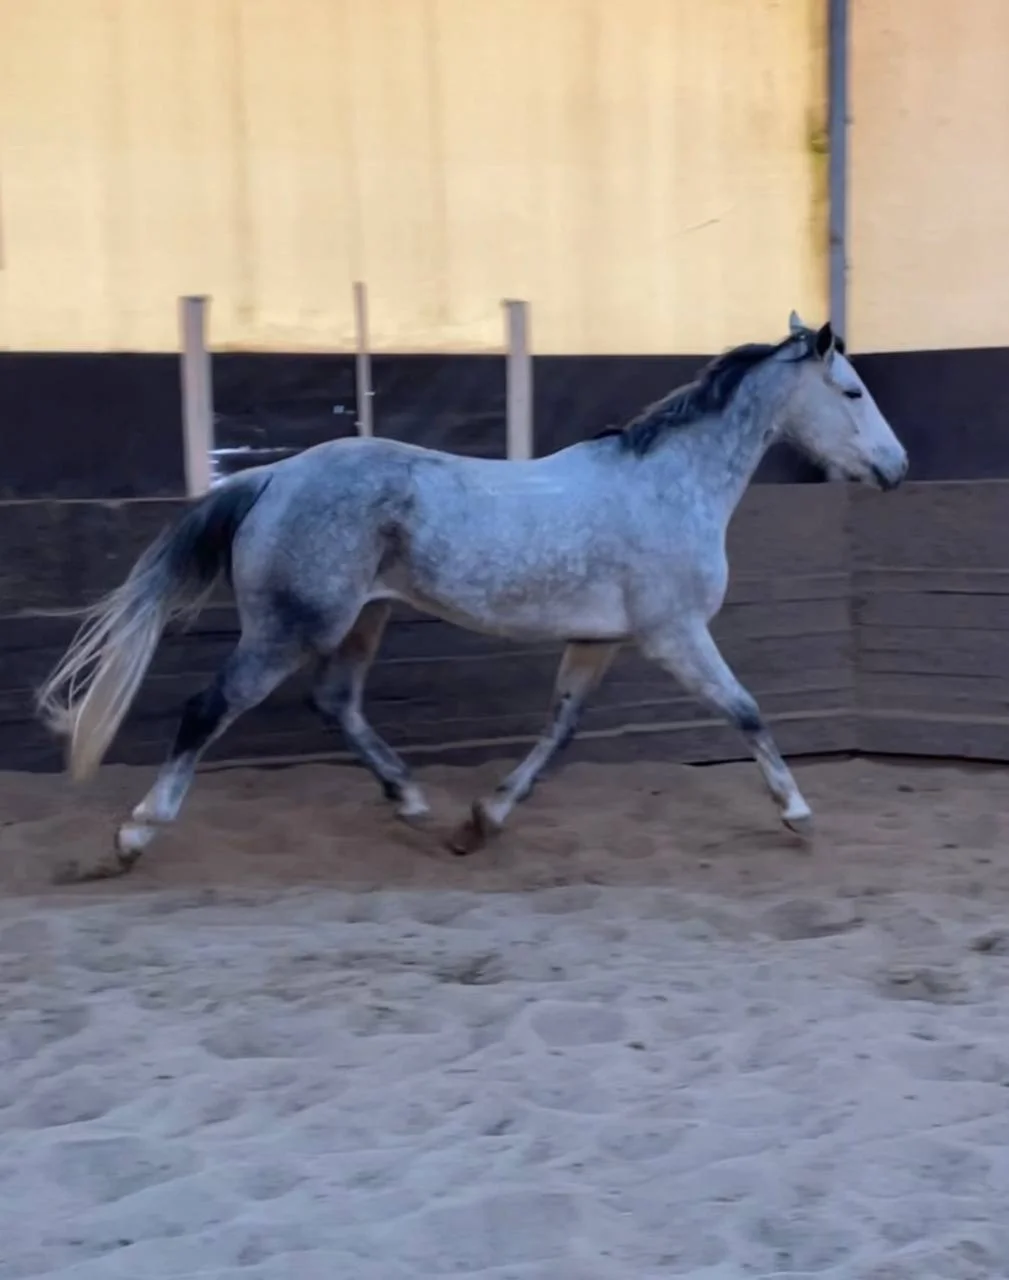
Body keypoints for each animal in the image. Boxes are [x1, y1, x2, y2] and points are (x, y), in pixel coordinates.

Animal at [37, 312, 907, 879]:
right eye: (851, 392)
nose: (896, 469)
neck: (670, 484)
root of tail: (273, 475)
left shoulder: (597, 642)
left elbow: (557, 734)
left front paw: (480, 823)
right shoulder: (675, 634)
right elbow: (747, 712)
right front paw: (797, 815)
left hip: (363, 619)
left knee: (334, 702)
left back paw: (413, 803)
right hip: (290, 628)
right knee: (206, 710)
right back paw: (134, 837)